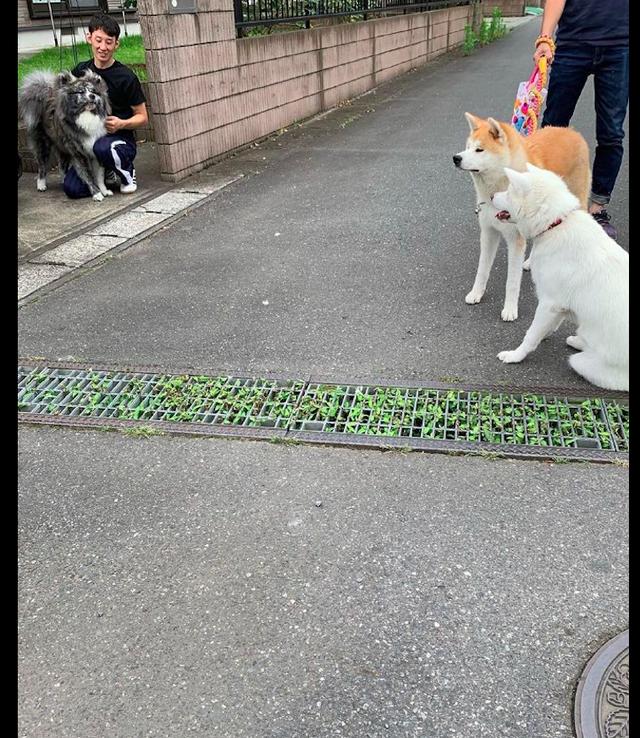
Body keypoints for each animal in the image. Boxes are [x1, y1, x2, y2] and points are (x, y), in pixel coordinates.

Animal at [19, 69, 114, 200]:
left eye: (93, 91)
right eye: (80, 91)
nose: (92, 96)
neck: (86, 116)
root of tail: (44, 96)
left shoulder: (94, 151)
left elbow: (99, 176)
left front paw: (104, 190)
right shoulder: (79, 154)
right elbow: (88, 176)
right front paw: (96, 194)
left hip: (62, 148)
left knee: (62, 167)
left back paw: (63, 182)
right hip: (43, 145)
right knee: (42, 165)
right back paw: (41, 184)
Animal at [492, 162, 628, 392]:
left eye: (508, 192)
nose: (492, 195)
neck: (555, 224)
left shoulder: (550, 303)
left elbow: (530, 336)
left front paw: (515, 356)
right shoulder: (558, 305)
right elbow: (546, 326)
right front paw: (545, 333)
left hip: (582, 363)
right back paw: (578, 340)